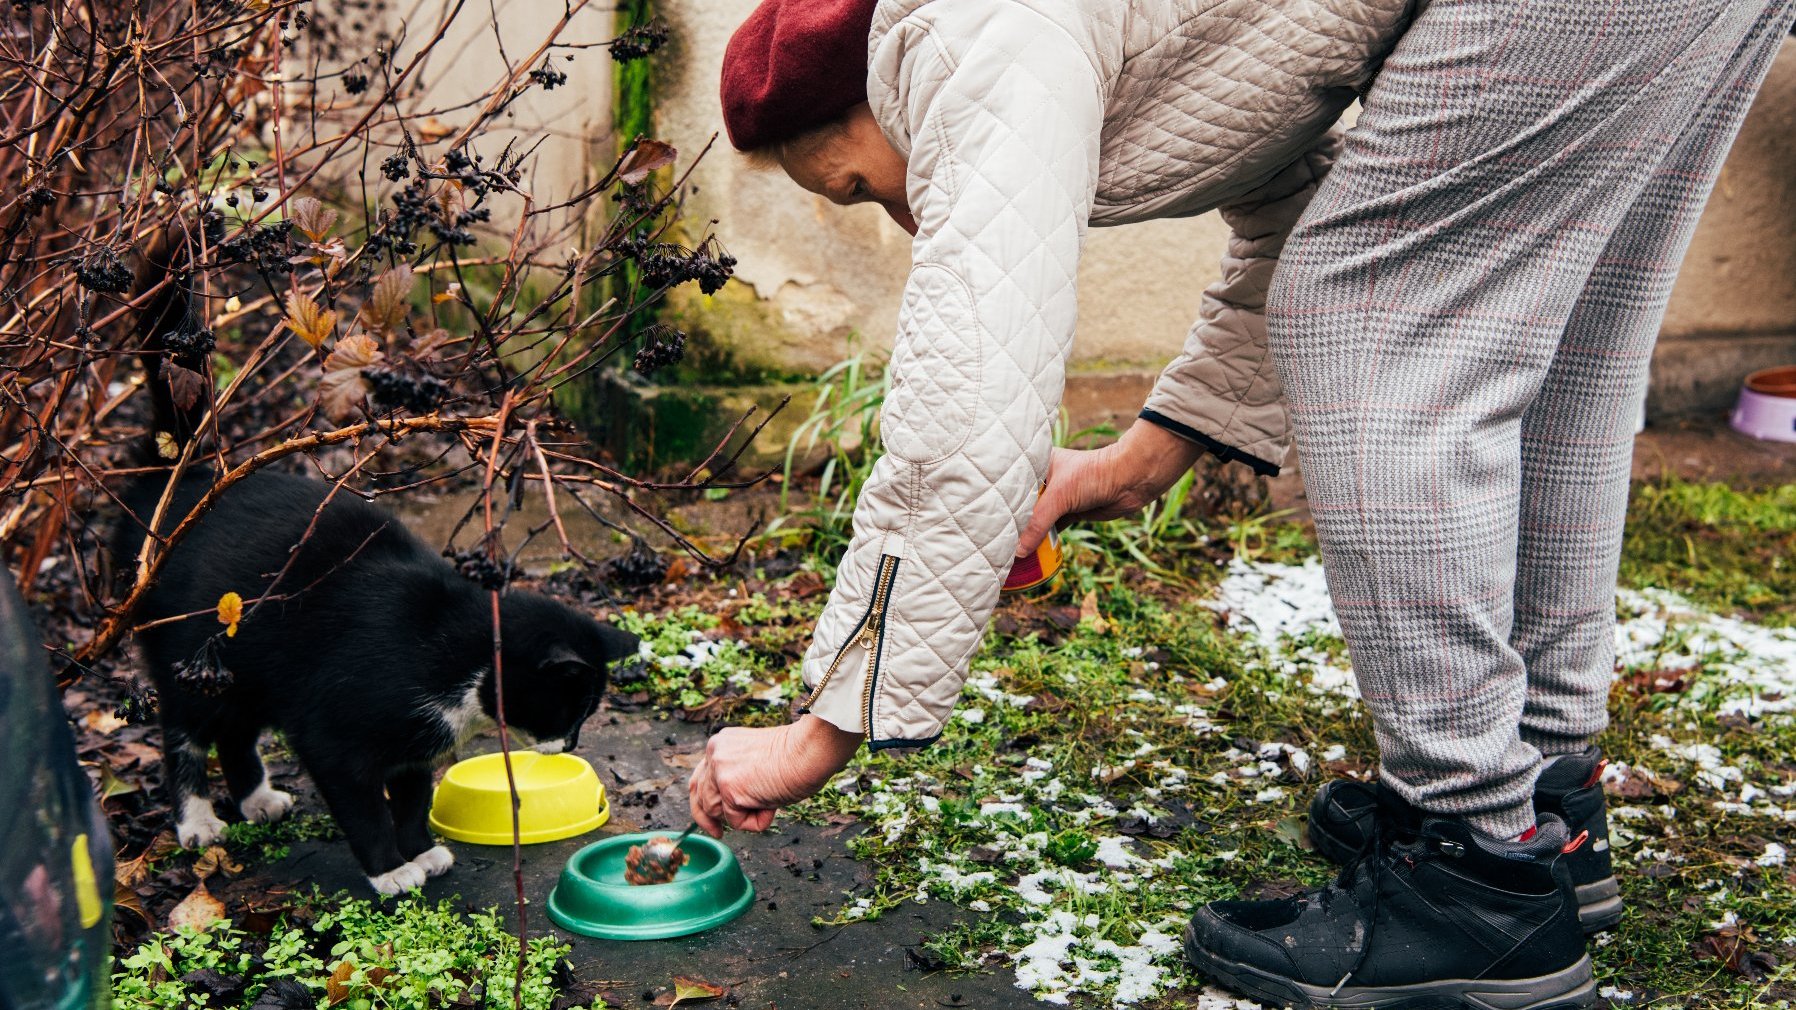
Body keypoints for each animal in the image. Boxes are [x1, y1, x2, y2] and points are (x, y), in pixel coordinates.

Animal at [115, 233, 635, 887]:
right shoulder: (337, 725)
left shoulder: (413, 742)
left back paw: (257, 797)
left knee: (237, 727)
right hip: (188, 651)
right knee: (185, 731)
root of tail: (179, 483)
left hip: (248, 663)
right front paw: (389, 870)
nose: (571, 747)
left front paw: (421, 849)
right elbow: (359, 800)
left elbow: (410, 793)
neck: (456, 647)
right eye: (572, 707)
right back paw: (198, 820)